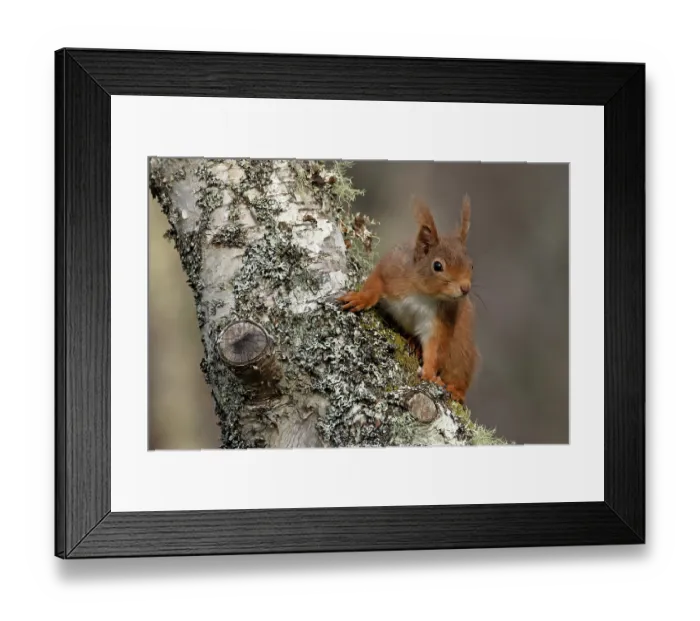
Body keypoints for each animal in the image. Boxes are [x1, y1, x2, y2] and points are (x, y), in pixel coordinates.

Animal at [338, 194, 480, 405]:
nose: (465, 288)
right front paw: (361, 298)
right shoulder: (392, 271)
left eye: (471, 265)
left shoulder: (441, 318)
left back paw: (456, 390)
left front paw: (429, 373)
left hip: (462, 353)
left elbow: (435, 347)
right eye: (437, 266)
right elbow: (375, 282)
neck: (423, 294)